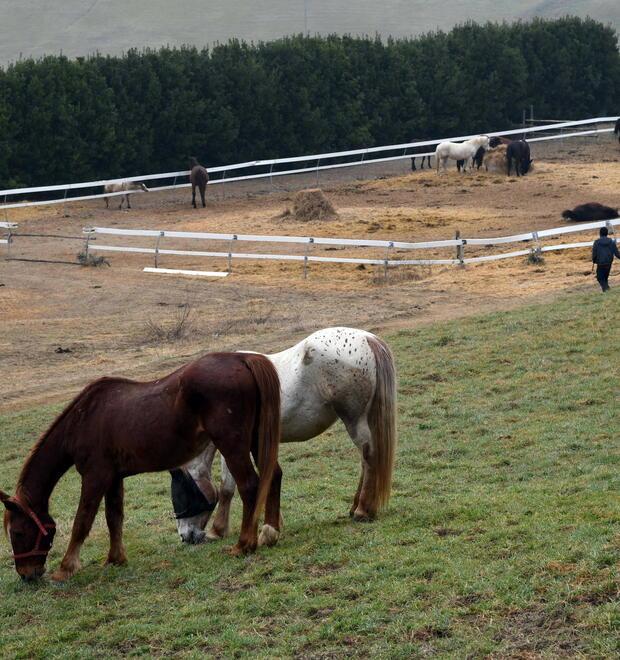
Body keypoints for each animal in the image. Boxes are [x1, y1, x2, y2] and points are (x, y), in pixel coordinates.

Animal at [1, 352, 281, 582]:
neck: (83, 420)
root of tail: (242, 358)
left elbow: (83, 520)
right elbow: (114, 518)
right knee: (274, 476)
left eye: (18, 533)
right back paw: (270, 533)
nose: (27, 575)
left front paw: (66, 567)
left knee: (250, 486)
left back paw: (245, 544)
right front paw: (115, 559)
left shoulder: (95, 477)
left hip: (232, 446)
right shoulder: (114, 478)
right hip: (256, 440)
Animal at [172, 327, 397, 545]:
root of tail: (368, 338)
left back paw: (363, 510)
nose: (185, 536)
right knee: (366, 460)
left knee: (369, 455)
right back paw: (356, 506)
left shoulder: (233, 447)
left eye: (180, 494)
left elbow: (227, 487)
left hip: (354, 419)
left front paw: (217, 530)